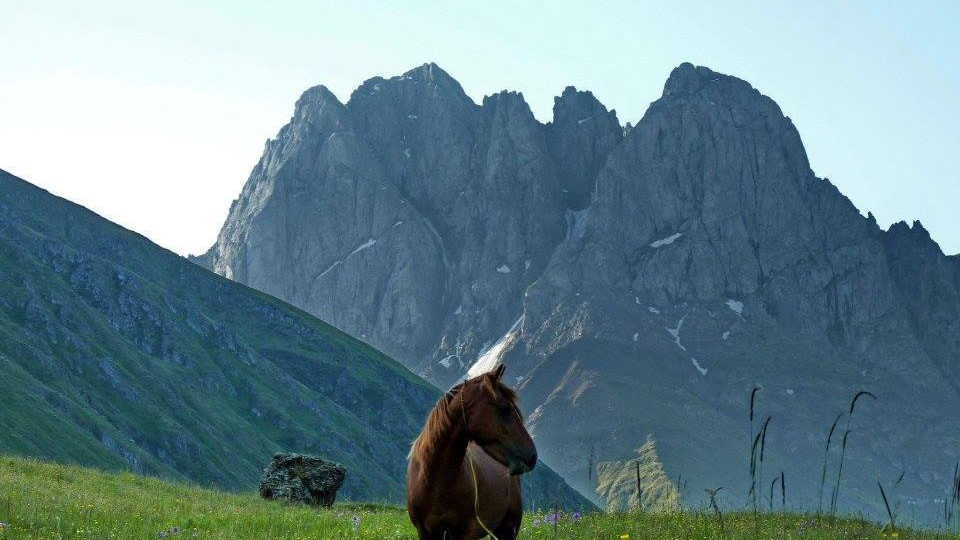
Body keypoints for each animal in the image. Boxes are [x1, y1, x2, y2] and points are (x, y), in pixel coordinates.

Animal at [406, 362, 540, 540]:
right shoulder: (425, 532)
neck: (434, 482)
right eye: (504, 409)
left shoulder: (464, 533)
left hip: (508, 529)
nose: (532, 456)